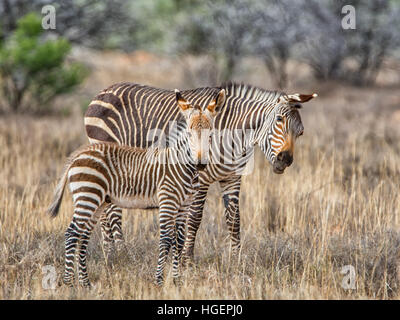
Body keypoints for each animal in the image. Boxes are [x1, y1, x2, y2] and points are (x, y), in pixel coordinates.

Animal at [47, 89, 225, 286]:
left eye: (210, 136)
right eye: (190, 135)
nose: (201, 164)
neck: (181, 164)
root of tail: (78, 155)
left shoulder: (184, 205)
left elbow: (179, 241)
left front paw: (176, 280)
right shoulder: (168, 201)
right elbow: (166, 240)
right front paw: (159, 280)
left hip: (97, 201)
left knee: (83, 236)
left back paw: (85, 283)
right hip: (88, 195)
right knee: (72, 233)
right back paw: (69, 283)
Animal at [84, 82, 316, 262]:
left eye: (301, 132)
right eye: (279, 120)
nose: (285, 160)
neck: (236, 137)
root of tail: (103, 91)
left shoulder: (232, 178)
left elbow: (234, 220)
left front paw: (236, 260)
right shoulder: (201, 178)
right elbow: (195, 218)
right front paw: (187, 260)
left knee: (105, 209)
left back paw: (110, 253)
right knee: (111, 211)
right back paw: (120, 253)